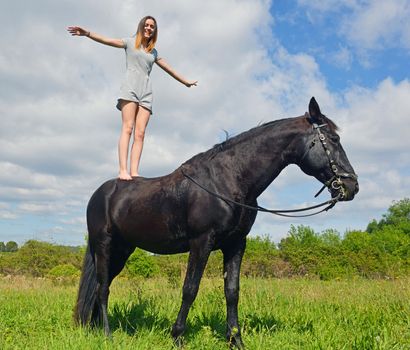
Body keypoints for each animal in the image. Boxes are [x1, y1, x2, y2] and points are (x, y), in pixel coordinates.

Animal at [75, 98, 358, 348]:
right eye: (334, 140)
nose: (351, 186)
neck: (229, 179)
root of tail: (100, 194)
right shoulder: (202, 242)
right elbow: (190, 289)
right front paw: (177, 337)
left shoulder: (236, 244)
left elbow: (232, 292)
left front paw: (236, 341)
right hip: (104, 245)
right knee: (102, 289)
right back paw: (107, 335)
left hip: (123, 250)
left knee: (102, 286)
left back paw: (94, 328)